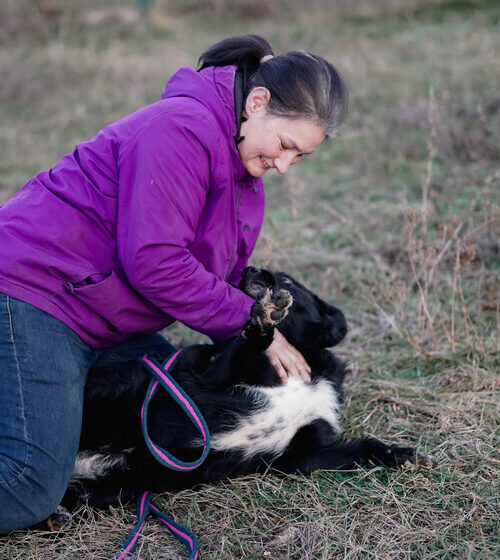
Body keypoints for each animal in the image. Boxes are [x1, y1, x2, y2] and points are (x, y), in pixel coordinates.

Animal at [58, 266, 434, 517]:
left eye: (287, 279)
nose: (249, 268)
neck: (306, 367)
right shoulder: (210, 375)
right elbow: (248, 343)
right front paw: (264, 321)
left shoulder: (299, 454)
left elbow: (360, 447)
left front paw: (399, 454)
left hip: (120, 485)